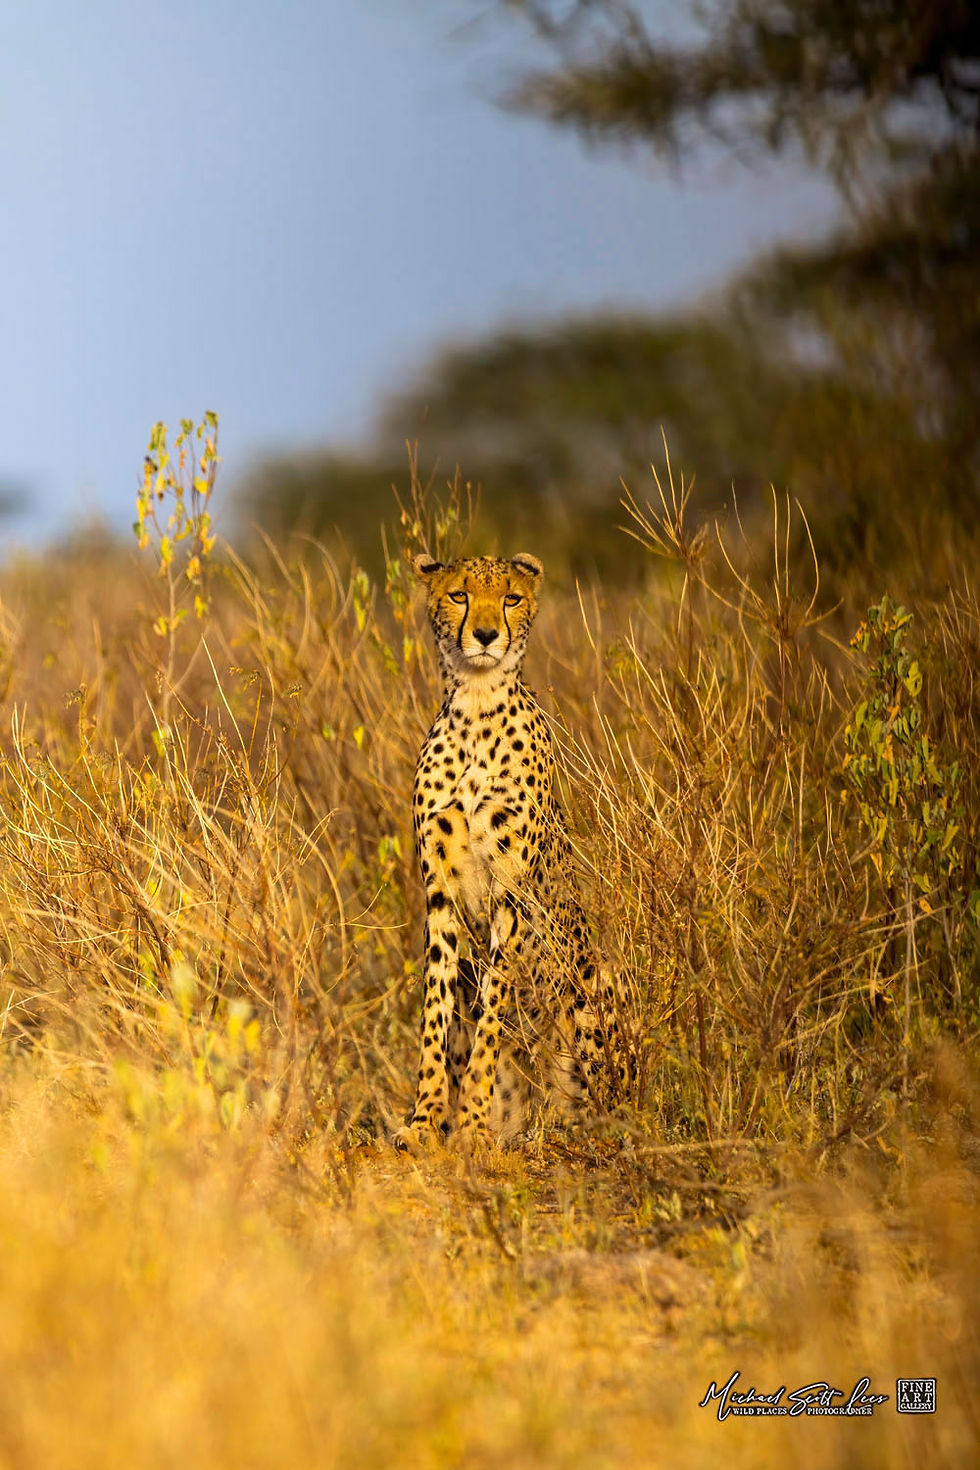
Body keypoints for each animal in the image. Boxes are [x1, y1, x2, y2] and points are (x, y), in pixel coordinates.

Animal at [394, 550, 624, 1153]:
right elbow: (437, 1013)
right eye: (459, 595)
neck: (477, 707)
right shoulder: (440, 895)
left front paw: (472, 1126)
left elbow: (493, 1018)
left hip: (596, 978)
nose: (485, 635)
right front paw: (426, 1119)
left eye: (511, 598)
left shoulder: (512, 895)